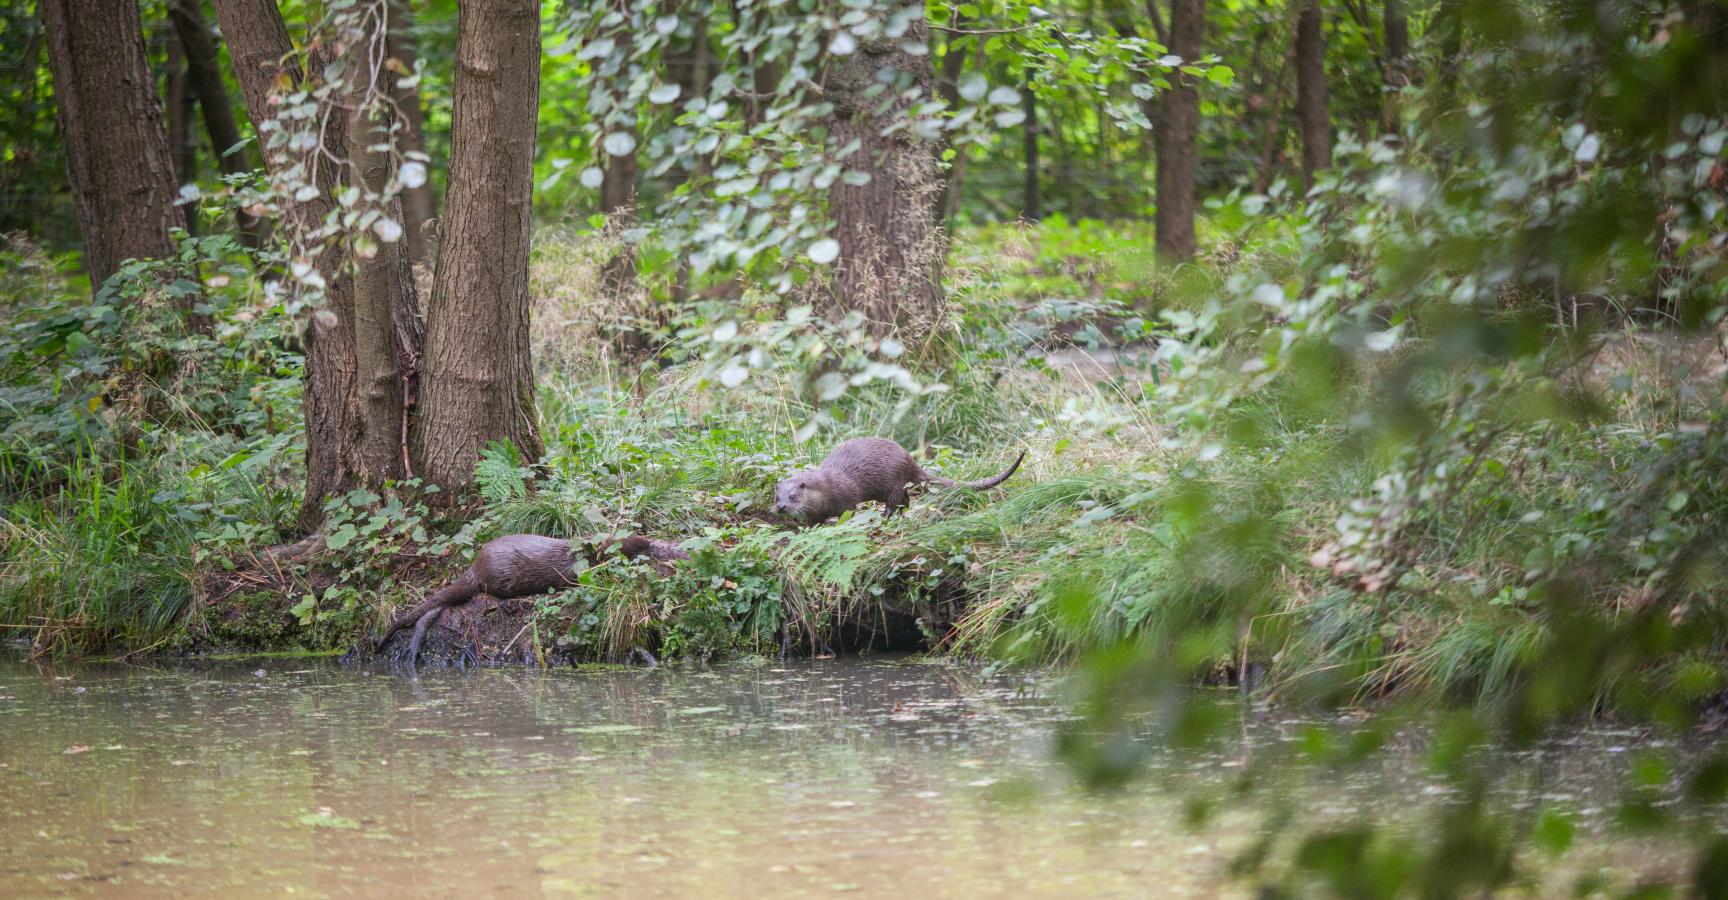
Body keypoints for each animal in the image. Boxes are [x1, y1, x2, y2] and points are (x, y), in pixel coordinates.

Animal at [773, 437, 1025, 524]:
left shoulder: (847, 499)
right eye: (777, 497)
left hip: (894, 481)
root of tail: (909, 459)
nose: (782, 507)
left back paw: (885, 516)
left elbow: (849, 513)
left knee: (895, 501)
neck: (827, 488)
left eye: (793, 496)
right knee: (906, 500)